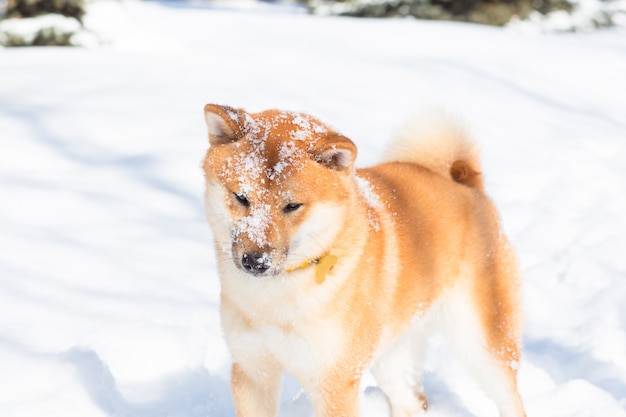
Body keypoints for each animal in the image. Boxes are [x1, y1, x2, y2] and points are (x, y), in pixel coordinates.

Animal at [202, 104, 524, 416]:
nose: (255, 261)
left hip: (482, 345)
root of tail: (466, 184)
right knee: (410, 401)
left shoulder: (335, 384)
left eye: (292, 206)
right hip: (391, 356)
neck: (276, 299)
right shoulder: (252, 371)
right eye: (241, 197)